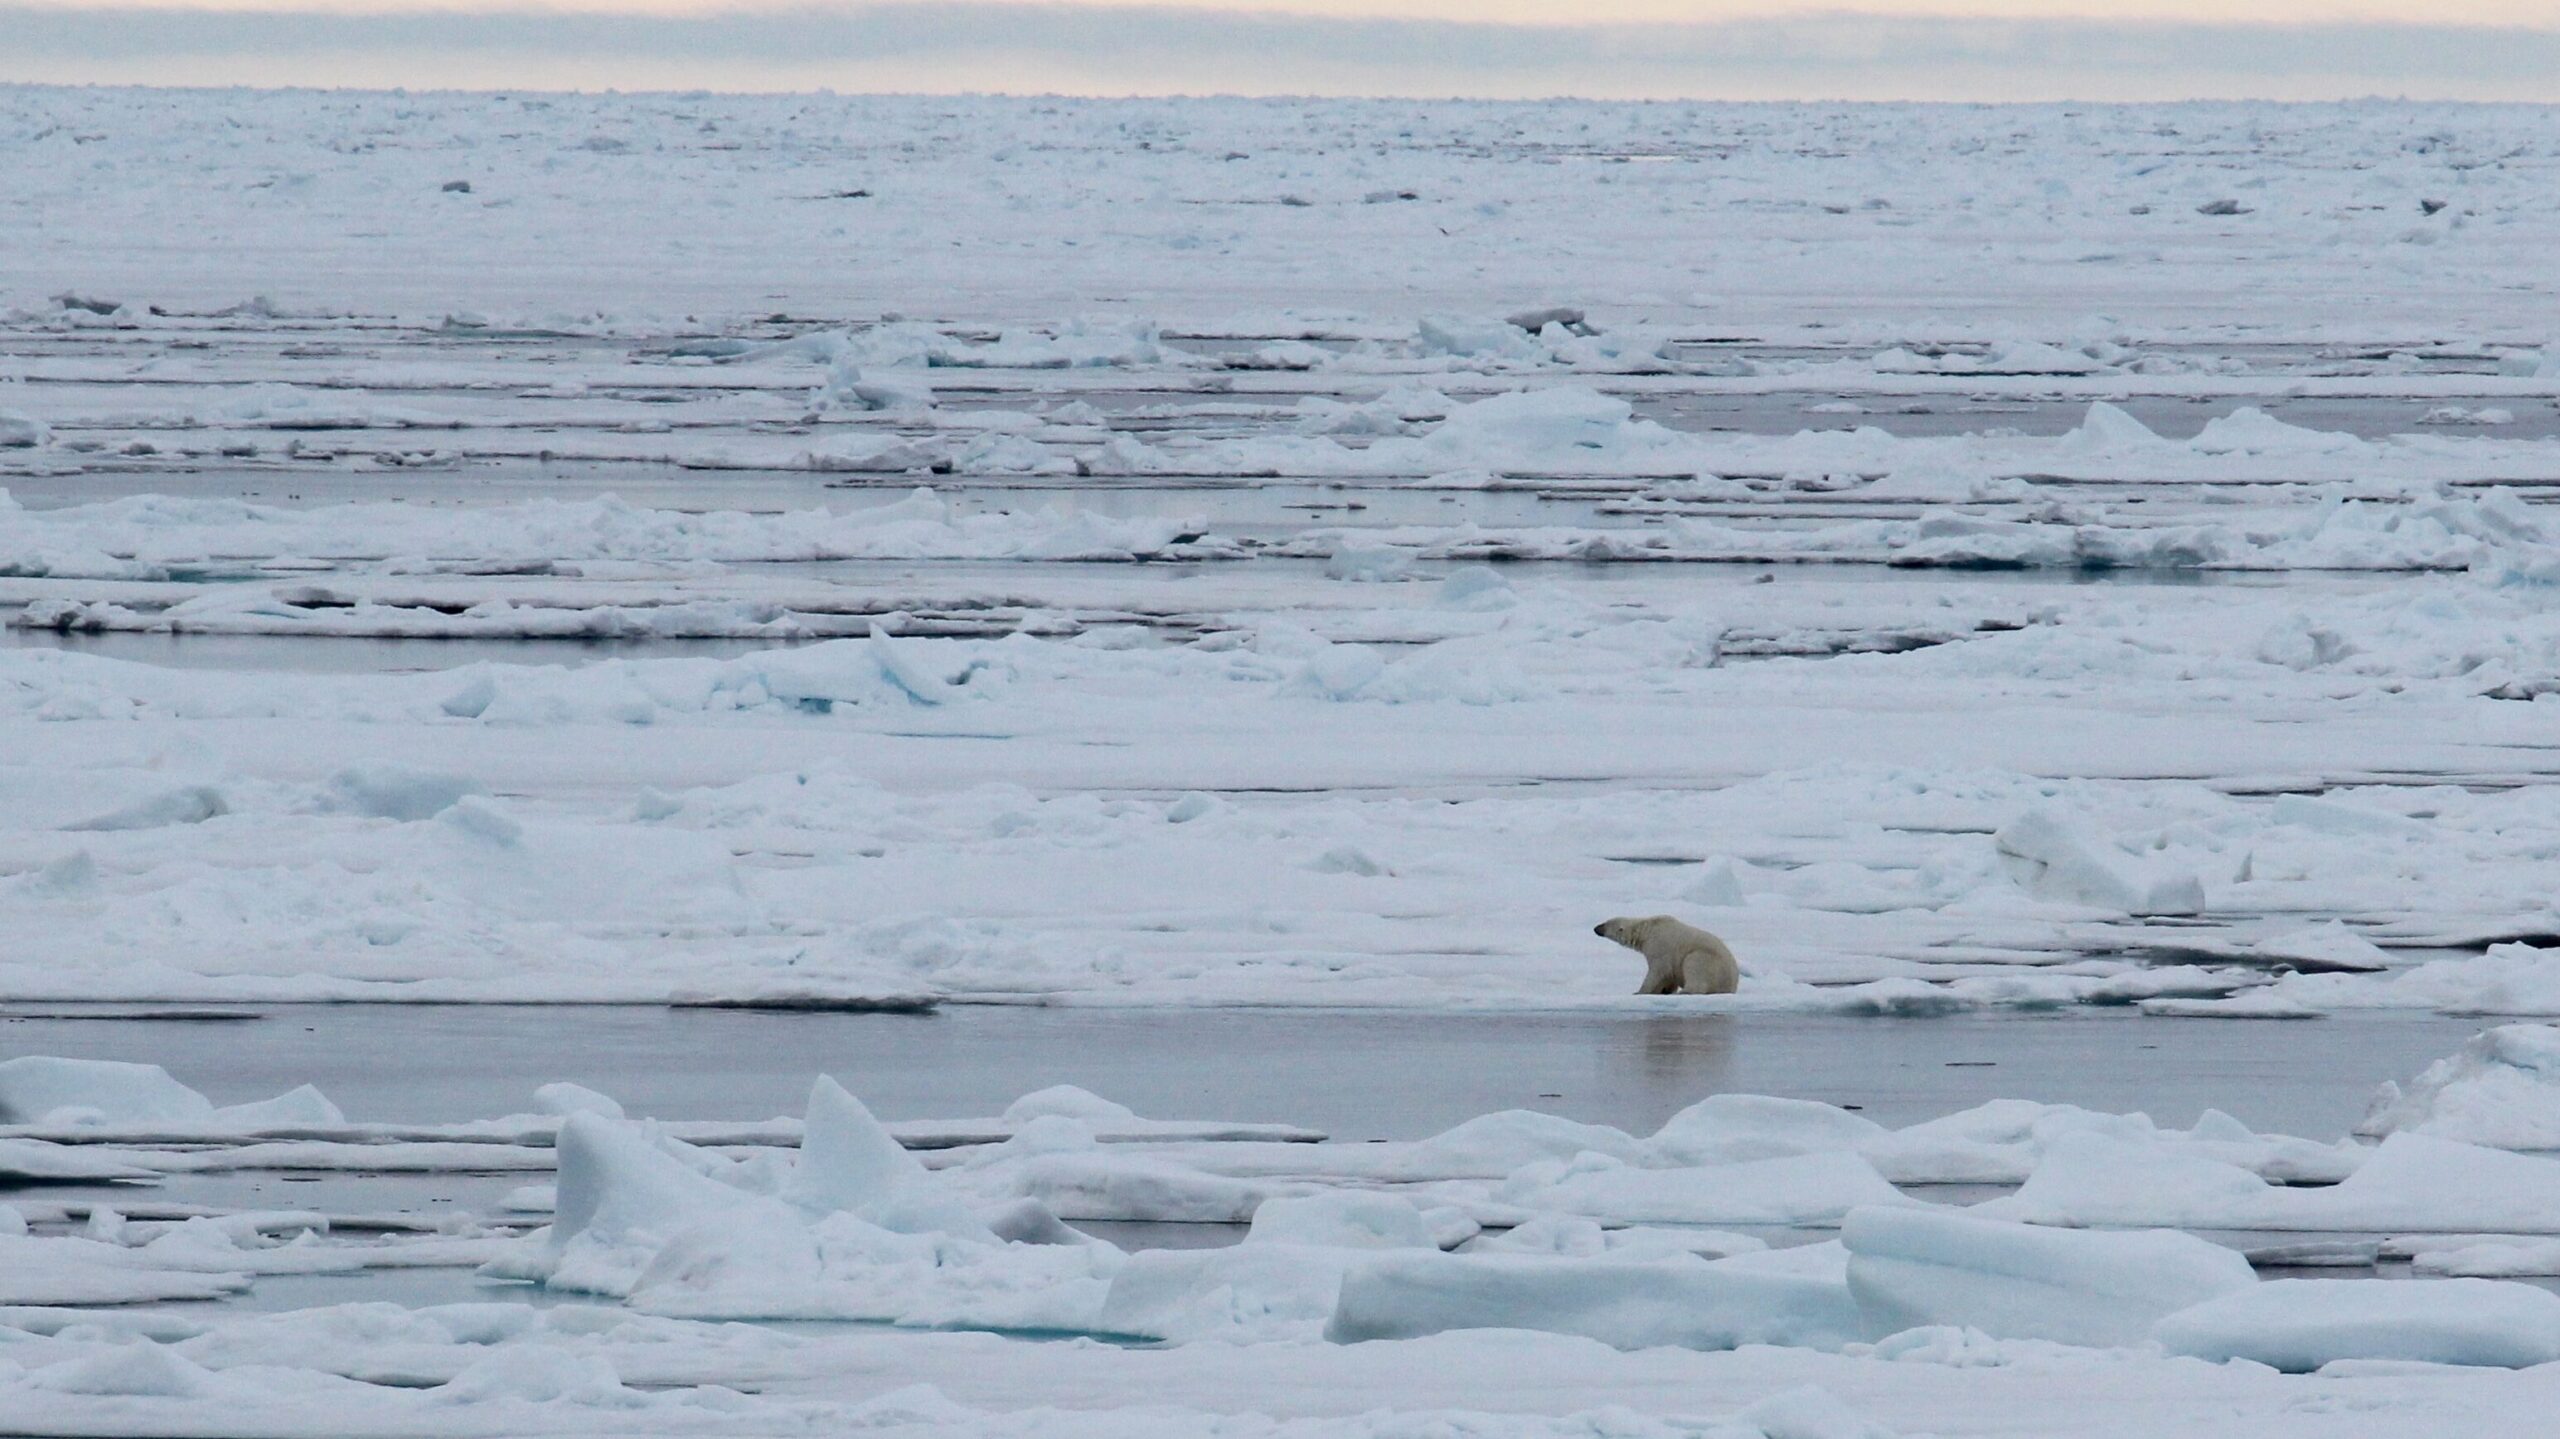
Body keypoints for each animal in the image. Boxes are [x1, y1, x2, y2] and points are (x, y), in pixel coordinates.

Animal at [1594, 915, 1740, 996]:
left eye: (1605, 924)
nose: (1595, 928)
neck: (1646, 930)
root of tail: (1732, 985)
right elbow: (1669, 976)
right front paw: (1665, 990)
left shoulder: (1659, 947)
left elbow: (1657, 971)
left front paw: (1639, 991)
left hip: (1709, 961)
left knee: (1694, 965)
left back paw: (1685, 991)